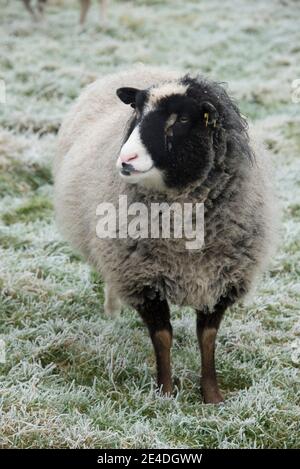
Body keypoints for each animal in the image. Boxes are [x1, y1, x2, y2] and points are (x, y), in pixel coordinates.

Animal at [54, 66, 276, 402]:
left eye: (182, 119)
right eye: (136, 111)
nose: (126, 159)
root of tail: (139, 66)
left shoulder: (223, 279)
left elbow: (207, 337)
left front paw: (212, 397)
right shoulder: (141, 278)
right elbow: (162, 337)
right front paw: (165, 393)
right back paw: (112, 312)